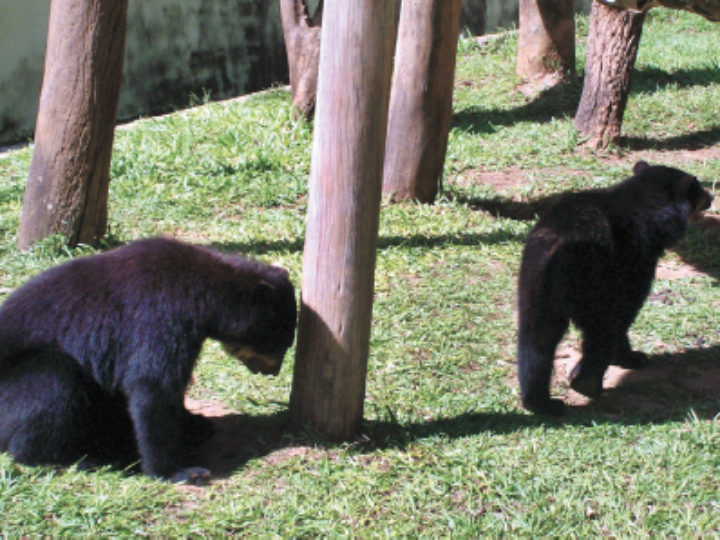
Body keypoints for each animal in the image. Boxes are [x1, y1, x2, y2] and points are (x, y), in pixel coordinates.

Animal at [0, 238, 296, 484]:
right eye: (279, 344)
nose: (273, 371)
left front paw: (195, 423)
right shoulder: (161, 315)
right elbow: (153, 388)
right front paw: (178, 471)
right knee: (53, 380)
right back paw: (75, 459)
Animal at [516, 160, 716, 414]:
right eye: (697, 189)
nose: (711, 195)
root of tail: (557, 250)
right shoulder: (636, 257)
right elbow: (625, 309)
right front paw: (632, 357)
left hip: (536, 285)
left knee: (537, 339)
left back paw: (541, 403)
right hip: (591, 277)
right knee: (600, 326)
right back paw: (587, 382)